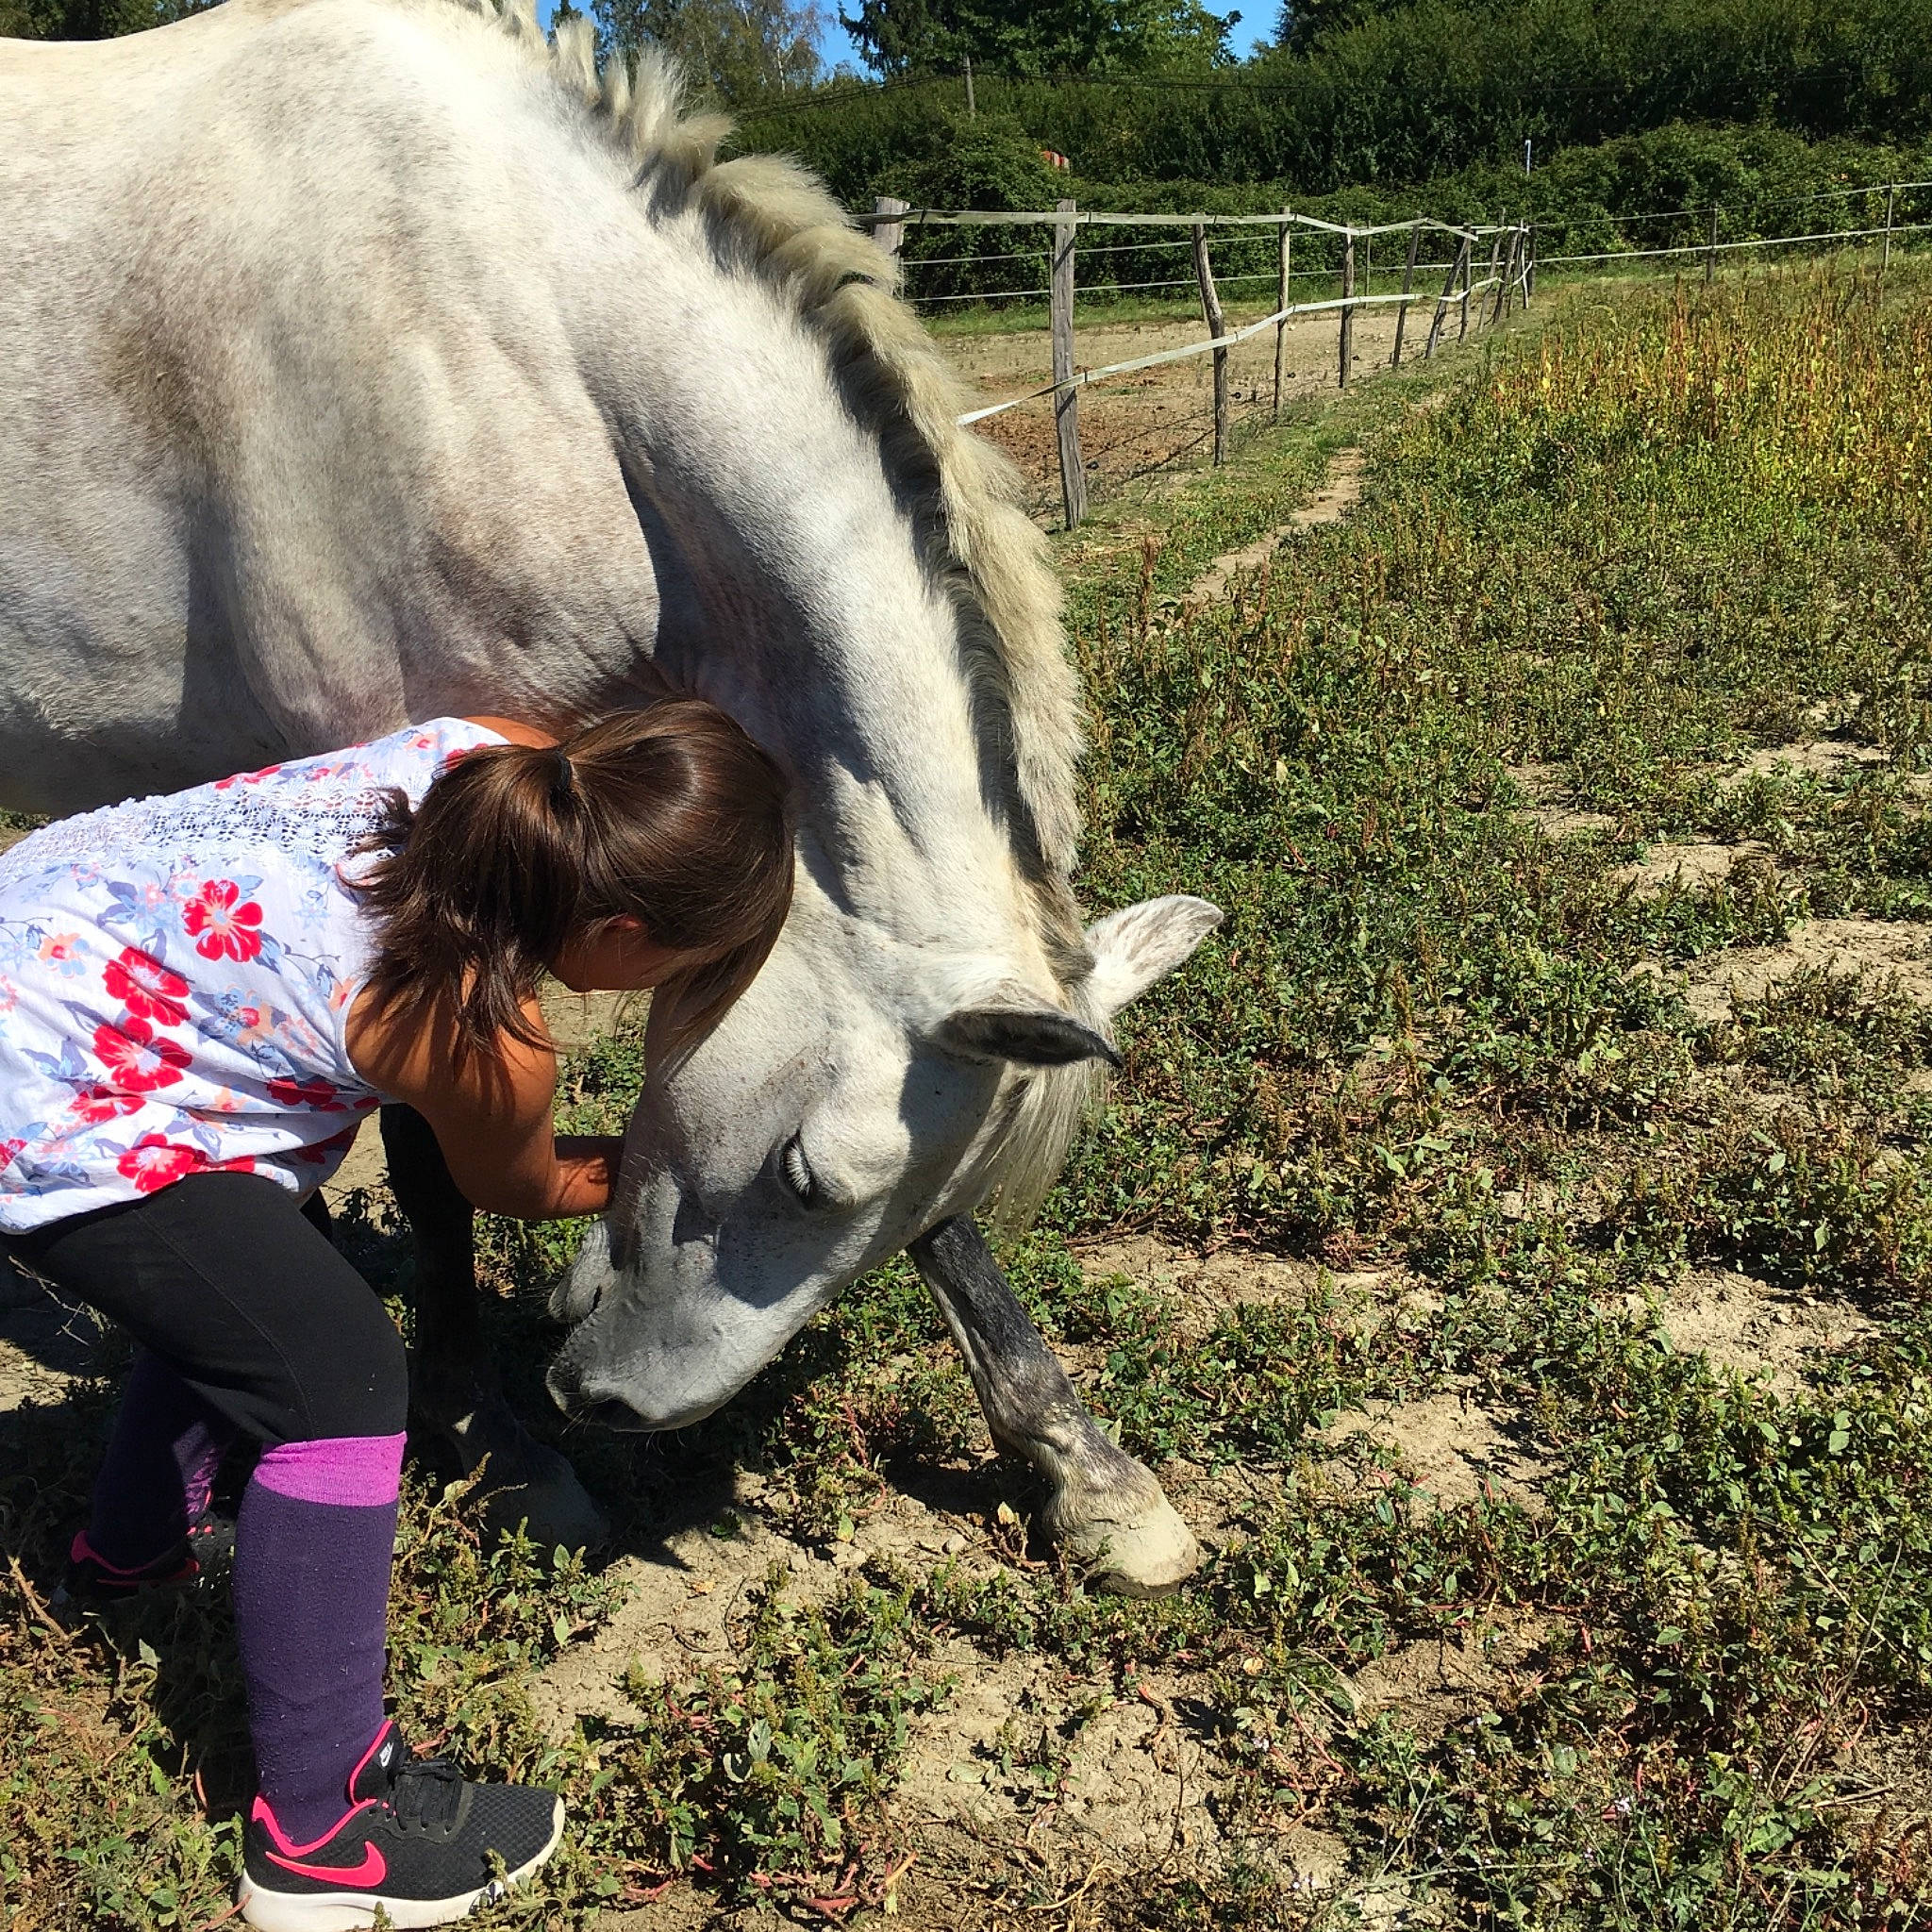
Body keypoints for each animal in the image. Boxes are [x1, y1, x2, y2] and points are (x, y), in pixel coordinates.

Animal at [0, 0, 1220, 1592]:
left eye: (867, 1201)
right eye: (807, 1177)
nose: (614, 1402)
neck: (497, 341)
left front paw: (1083, 1470)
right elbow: (430, 1160)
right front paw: (498, 1446)